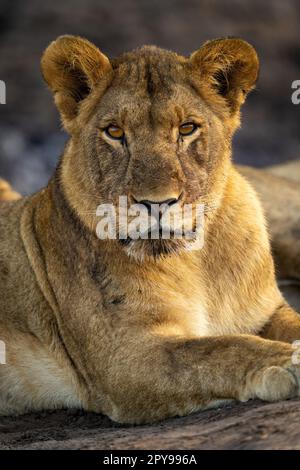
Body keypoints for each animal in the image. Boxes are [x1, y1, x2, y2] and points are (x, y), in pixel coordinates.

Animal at [0, 36, 300, 422]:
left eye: (187, 128)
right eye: (115, 132)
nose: (156, 203)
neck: (196, 263)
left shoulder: (266, 311)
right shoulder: (126, 358)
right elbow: (218, 349)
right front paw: (288, 362)